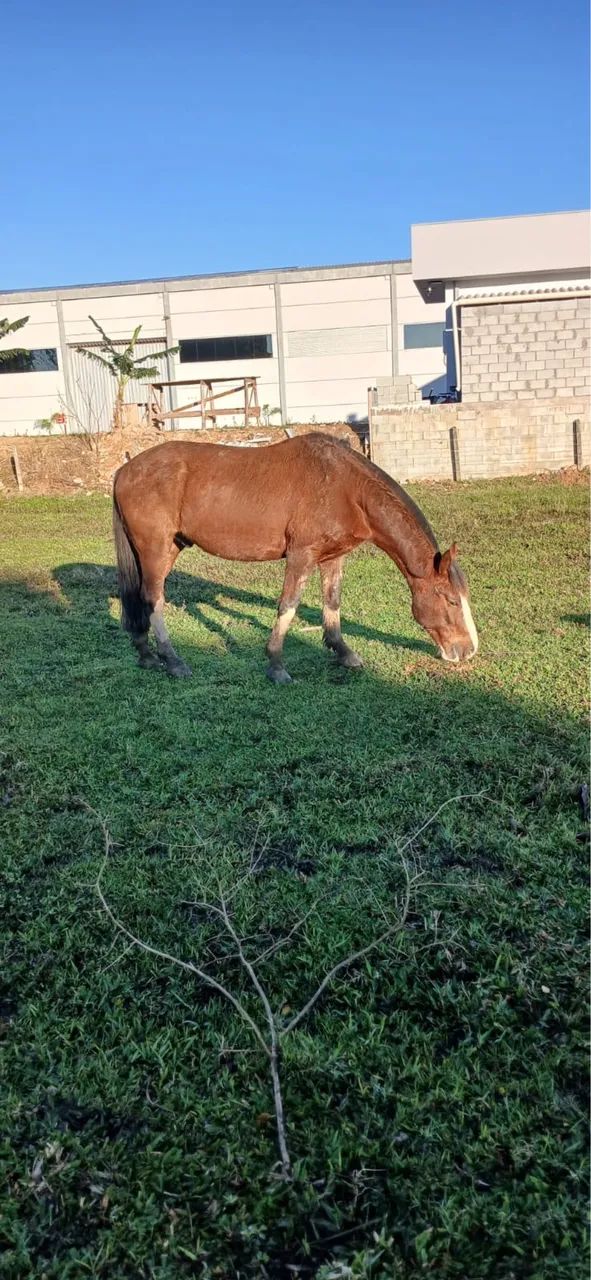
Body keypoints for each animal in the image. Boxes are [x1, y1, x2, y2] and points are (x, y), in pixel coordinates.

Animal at [112, 432, 478, 683]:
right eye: (450, 600)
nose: (467, 650)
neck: (346, 488)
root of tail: (124, 470)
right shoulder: (301, 555)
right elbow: (288, 605)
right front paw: (276, 665)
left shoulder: (333, 558)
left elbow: (332, 603)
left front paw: (342, 652)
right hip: (156, 550)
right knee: (153, 599)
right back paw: (172, 660)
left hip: (165, 549)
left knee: (140, 599)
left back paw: (145, 654)